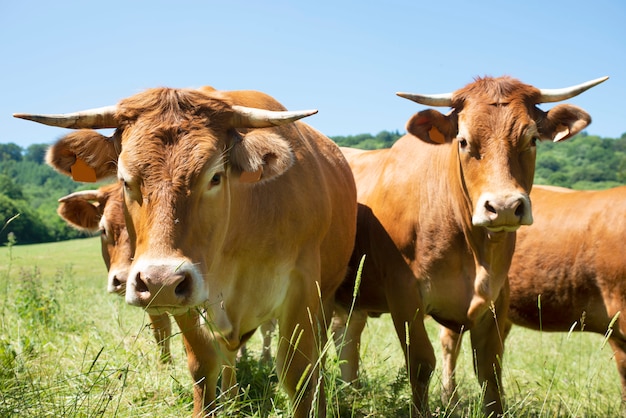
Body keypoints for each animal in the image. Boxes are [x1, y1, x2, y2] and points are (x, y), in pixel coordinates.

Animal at [15, 86, 356, 416]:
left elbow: (299, 374)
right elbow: (204, 363)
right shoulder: (187, 296)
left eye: (215, 176)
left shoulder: (303, 288)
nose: (159, 280)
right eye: (125, 180)